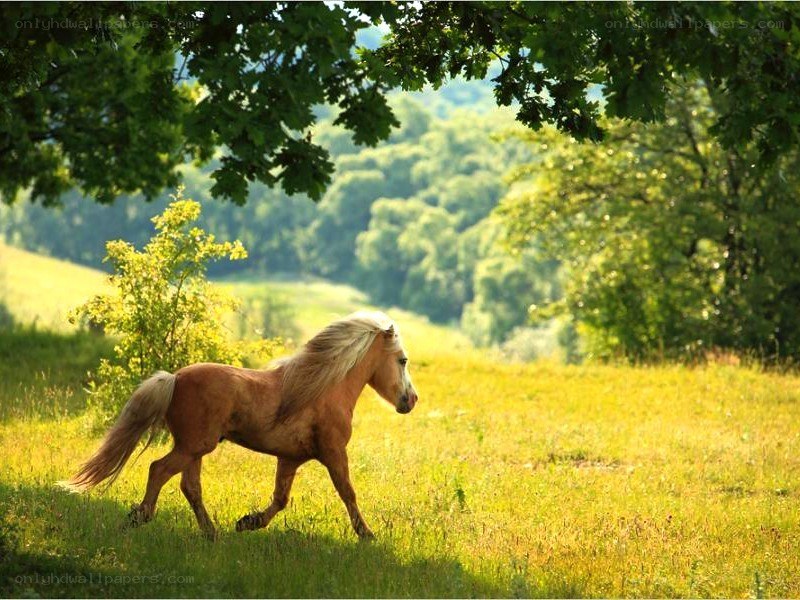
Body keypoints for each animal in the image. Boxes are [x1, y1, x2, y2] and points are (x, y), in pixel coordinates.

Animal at [61, 311, 419, 540]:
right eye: (402, 360)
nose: (411, 400)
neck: (321, 389)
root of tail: (174, 379)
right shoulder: (333, 453)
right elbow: (348, 493)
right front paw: (367, 535)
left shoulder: (290, 458)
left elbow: (280, 499)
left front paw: (247, 522)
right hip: (194, 446)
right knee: (158, 470)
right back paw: (140, 517)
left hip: (194, 449)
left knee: (189, 487)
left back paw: (212, 533)